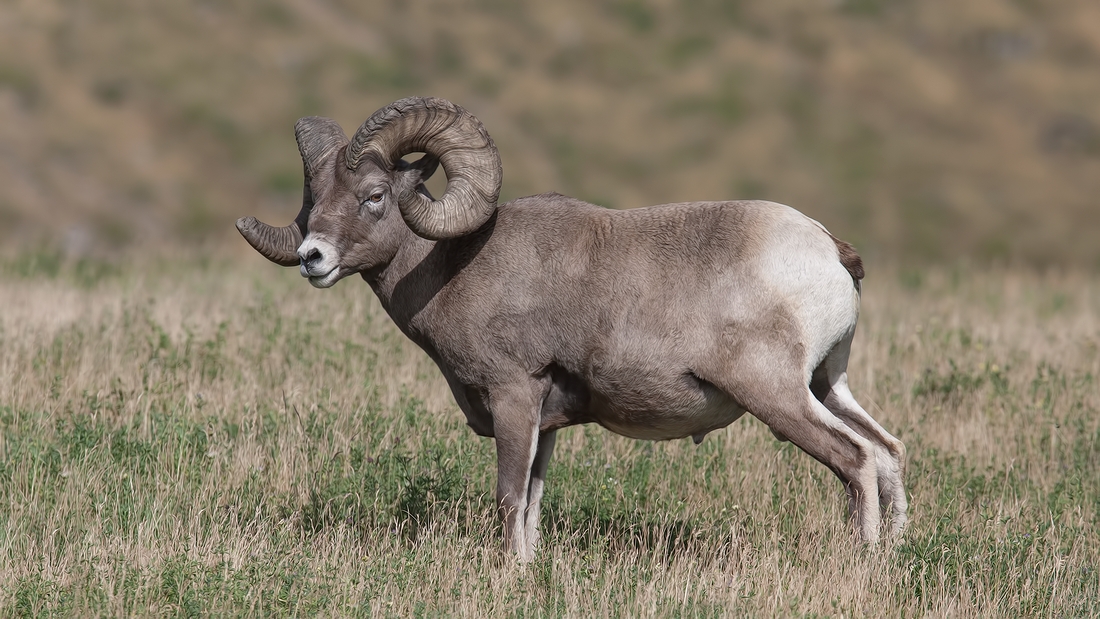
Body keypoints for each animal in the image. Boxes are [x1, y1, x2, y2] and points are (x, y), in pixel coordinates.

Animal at [236, 95, 906, 562]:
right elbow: (532, 504)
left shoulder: (514, 395)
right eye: (315, 197)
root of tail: (830, 250)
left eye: (375, 195)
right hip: (827, 386)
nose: (313, 258)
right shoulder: (547, 422)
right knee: (887, 451)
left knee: (855, 459)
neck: (454, 267)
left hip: (778, 395)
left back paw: (863, 562)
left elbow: (509, 497)